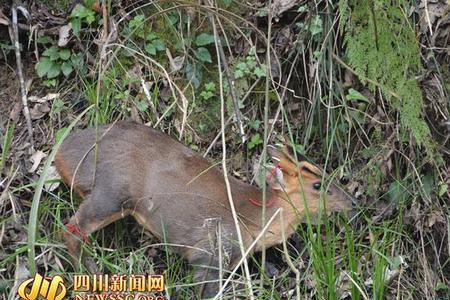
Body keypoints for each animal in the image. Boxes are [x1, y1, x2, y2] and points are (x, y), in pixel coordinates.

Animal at [54, 121, 354, 298]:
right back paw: (91, 275)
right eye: (318, 184)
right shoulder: (211, 251)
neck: (254, 222)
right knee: (70, 229)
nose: (353, 202)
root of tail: (61, 153)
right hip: (111, 192)